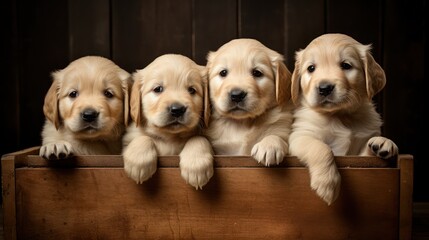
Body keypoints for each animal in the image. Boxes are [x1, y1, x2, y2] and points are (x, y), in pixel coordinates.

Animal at [122, 53, 212, 188]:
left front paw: (196, 164)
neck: (170, 138)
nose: (177, 109)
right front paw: (138, 160)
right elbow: (143, 137)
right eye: (158, 89)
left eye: (192, 90)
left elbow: (198, 138)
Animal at [203, 38, 290, 166]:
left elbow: (277, 136)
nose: (237, 95)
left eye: (257, 73)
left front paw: (269, 146)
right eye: (223, 72)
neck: (242, 123)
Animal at [288, 33, 398, 205]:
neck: (340, 115)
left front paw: (383, 142)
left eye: (346, 65)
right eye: (311, 68)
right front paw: (327, 183)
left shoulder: (359, 158)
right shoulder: (300, 136)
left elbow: (365, 154)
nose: (324, 88)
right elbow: (321, 148)